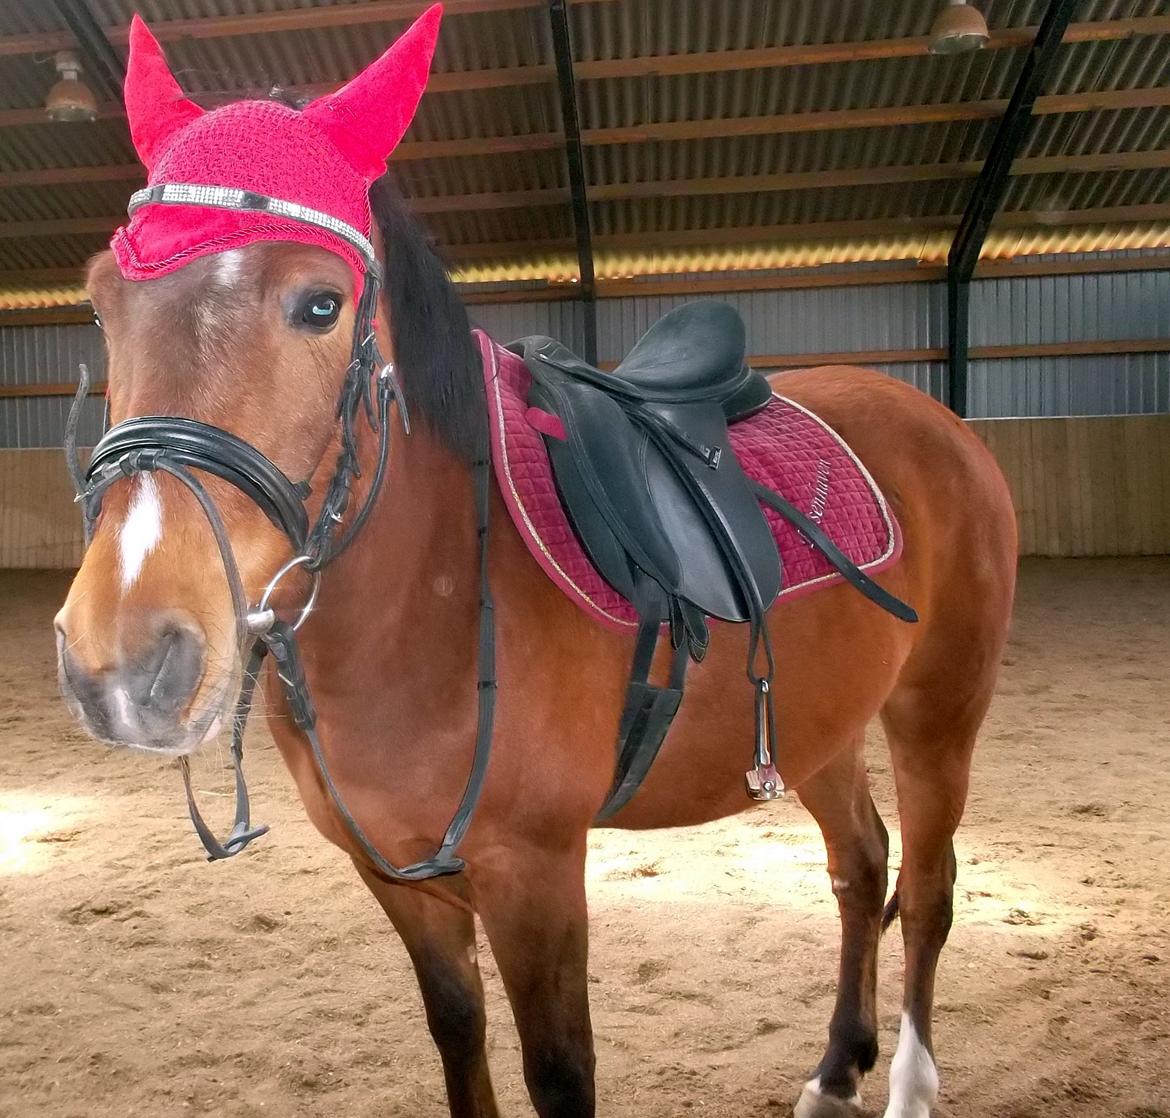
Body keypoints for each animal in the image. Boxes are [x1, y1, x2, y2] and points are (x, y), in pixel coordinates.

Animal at [54, 13, 1017, 1118]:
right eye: (101, 304)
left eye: (320, 304)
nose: (123, 661)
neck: (419, 612)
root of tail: (936, 418)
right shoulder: (403, 883)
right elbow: (456, 1032)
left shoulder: (536, 875)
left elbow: (560, 1071)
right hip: (820, 723)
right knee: (862, 865)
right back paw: (834, 1068)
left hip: (939, 714)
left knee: (931, 890)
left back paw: (907, 1081)